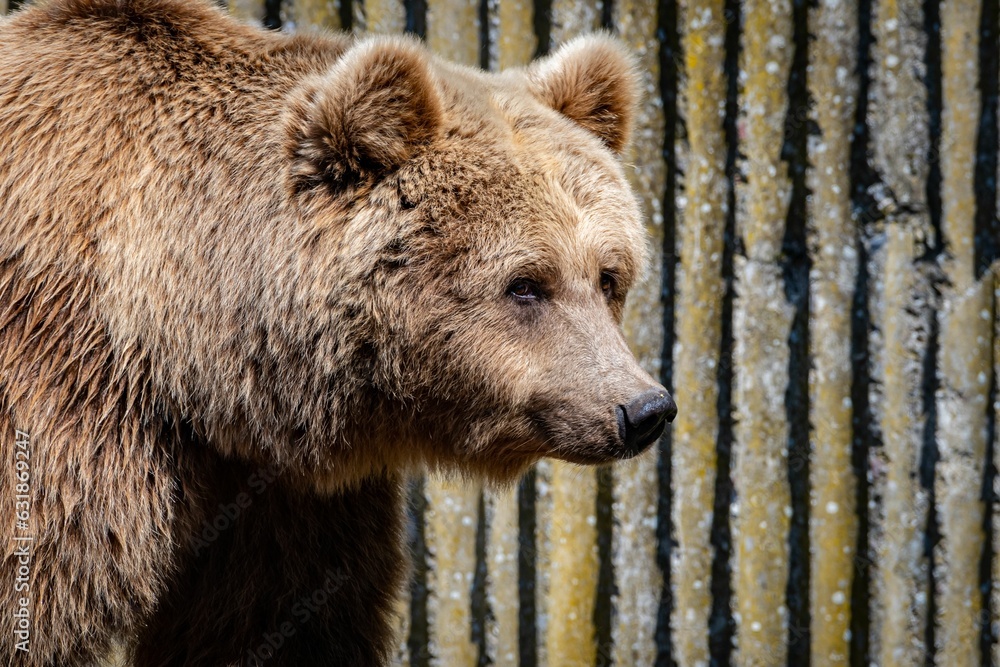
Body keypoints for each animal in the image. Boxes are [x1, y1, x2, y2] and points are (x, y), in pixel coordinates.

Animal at [0, 0, 680, 664]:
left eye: (608, 275)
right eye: (526, 284)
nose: (642, 407)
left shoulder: (285, 499)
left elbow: (279, 621)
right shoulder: (65, 401)